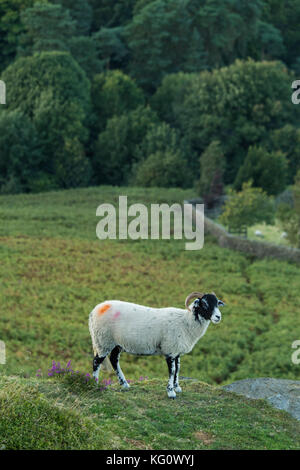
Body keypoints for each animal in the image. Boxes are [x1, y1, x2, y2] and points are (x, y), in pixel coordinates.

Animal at [88, 292, 224, 398]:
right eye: (204, 304)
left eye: (217, 303)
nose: (218, 317)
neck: (186, 322)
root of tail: (94, 311)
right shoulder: (170, 350)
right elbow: (172, 371)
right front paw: (171, 392)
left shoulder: (177, 351)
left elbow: (178, 369)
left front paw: (177, 387)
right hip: (103, 340)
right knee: (96, 362)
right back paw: (94, 384)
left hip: (116, 343)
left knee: (114, 359)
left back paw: (125, 384)